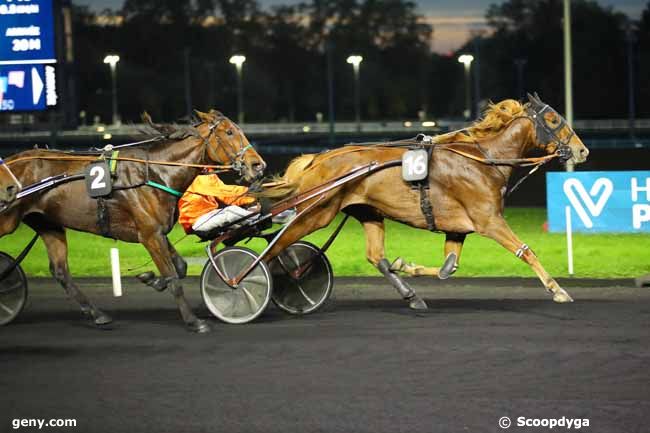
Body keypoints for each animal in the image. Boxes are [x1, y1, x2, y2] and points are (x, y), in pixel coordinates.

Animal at [0, 109, 264, 330]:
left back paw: (98, 315)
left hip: (48, 224)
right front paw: (193, 321)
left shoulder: (156, 232)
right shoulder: (149, 235)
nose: (258, 165)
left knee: (60, 271)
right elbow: (174, 278)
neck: (155, 173)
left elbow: (179, 268)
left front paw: (151, 279)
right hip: (9, 221)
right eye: (229, 132)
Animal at [260, 94, 588, 308]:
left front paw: (407, 265)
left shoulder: (458, 227)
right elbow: (526, 251)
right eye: (553, 119)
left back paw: (411, 295)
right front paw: (558, 290)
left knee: (376, 256)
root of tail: (318, 159)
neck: (484, 161)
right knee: (276, 245)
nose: (582, 150)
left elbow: (448, 268)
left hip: (368, 212)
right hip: (315, 213)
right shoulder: (489, 221)